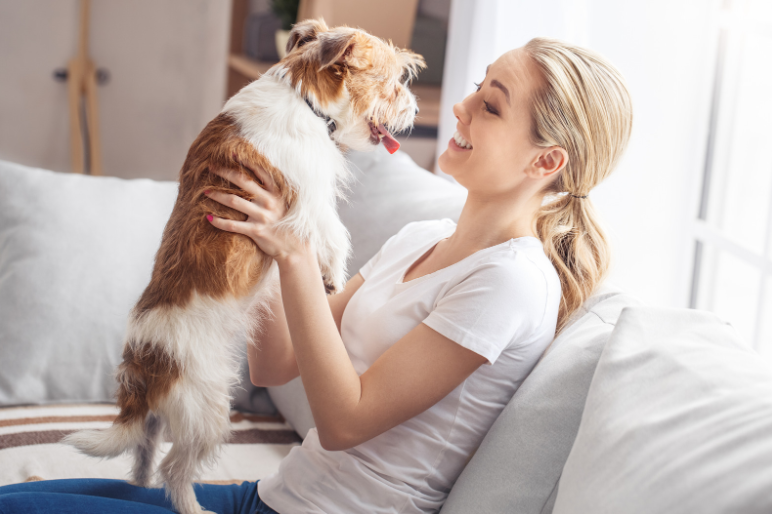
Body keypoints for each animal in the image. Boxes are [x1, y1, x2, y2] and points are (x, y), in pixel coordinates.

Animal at [63, 18, 422, 512]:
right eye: (391, 83)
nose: (415, 108)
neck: (305, 100)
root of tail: (148, 366)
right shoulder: (310, 200)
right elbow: (336, 233)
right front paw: (333, 275)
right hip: (208, 410)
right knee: (175, 470)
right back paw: (192, 505)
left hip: (161, 420)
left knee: (144, 451)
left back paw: (138, 486)